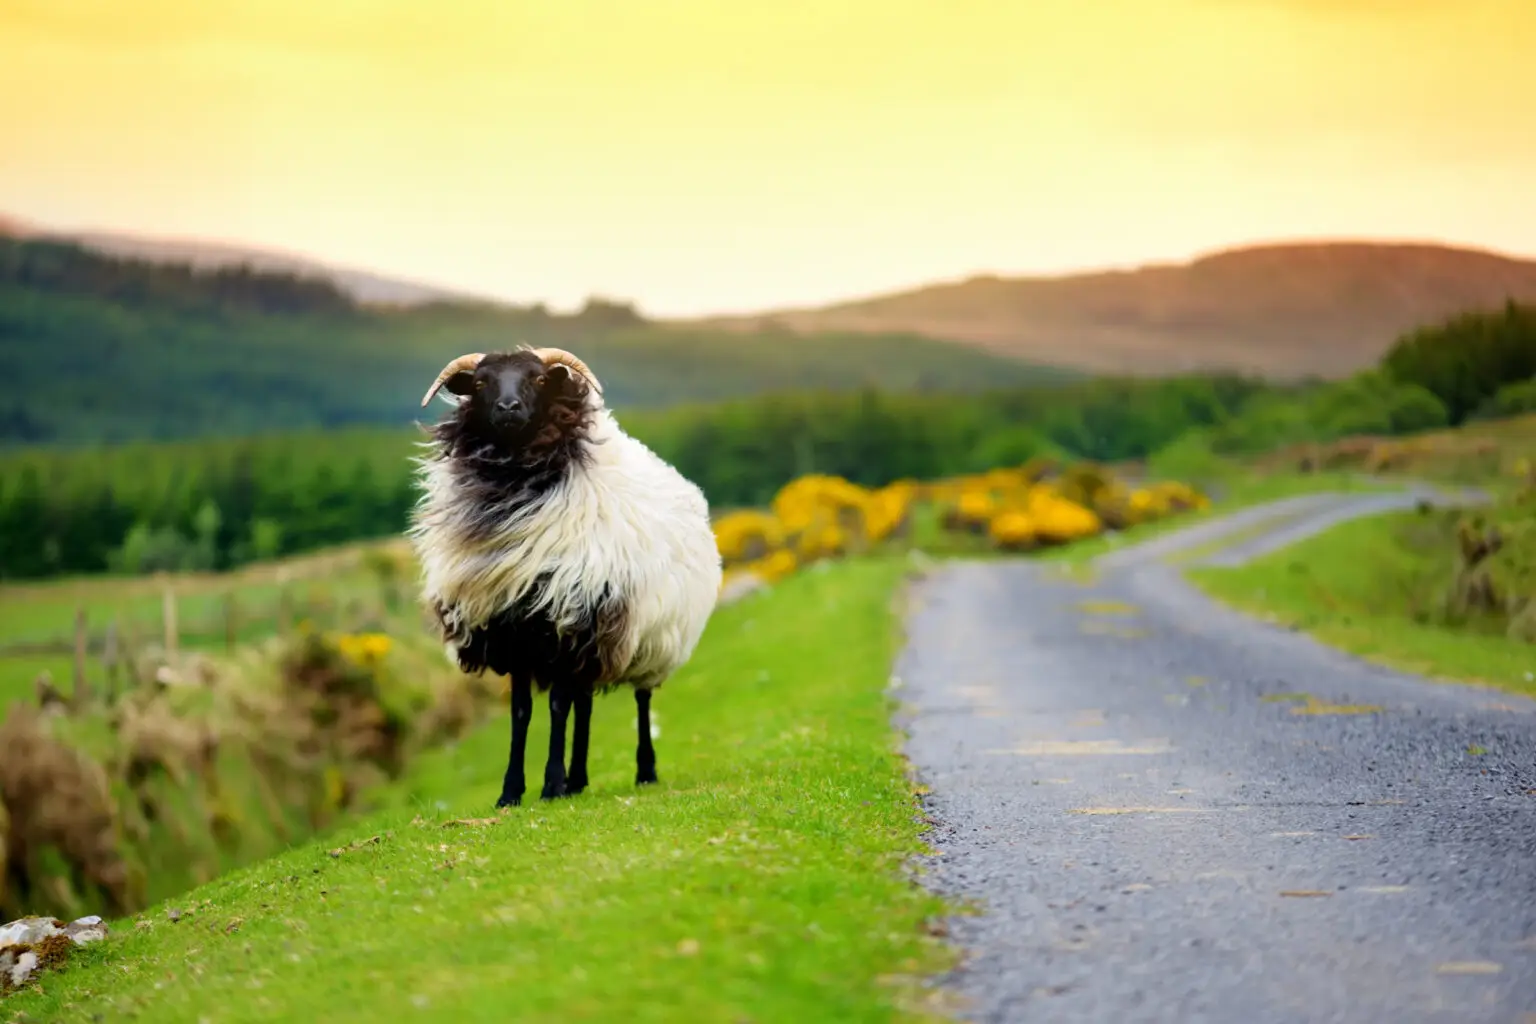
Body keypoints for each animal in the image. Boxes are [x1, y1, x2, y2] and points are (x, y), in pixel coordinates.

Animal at [408, 345, 722, 807]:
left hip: (650, 636)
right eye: (481, 383)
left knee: (640, 698)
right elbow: (522, 712)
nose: (508, 408)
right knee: (585, 703)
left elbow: (557, 706)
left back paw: (643, 771)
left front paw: (551, 784)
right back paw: (579, 779)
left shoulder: (565, 623)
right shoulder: (514, 630)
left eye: (539, 380)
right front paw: (512, 791)